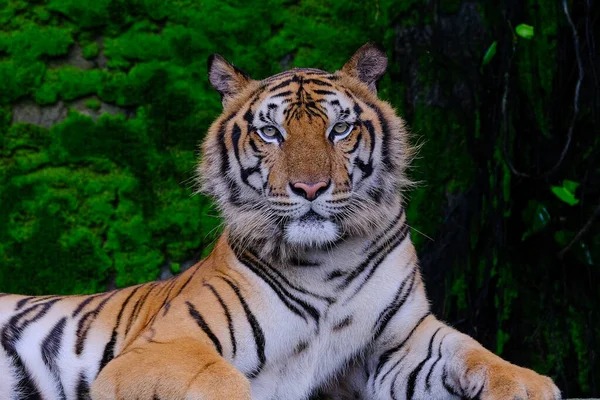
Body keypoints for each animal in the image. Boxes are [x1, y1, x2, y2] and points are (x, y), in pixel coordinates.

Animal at [1, 42, 564, 398]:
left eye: (340, 129)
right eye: (271, 132)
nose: (310, 189)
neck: (328, 261)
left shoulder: (399, 341)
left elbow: (469, 348)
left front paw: (528, 382)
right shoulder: (166, 347)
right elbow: (220, 382)